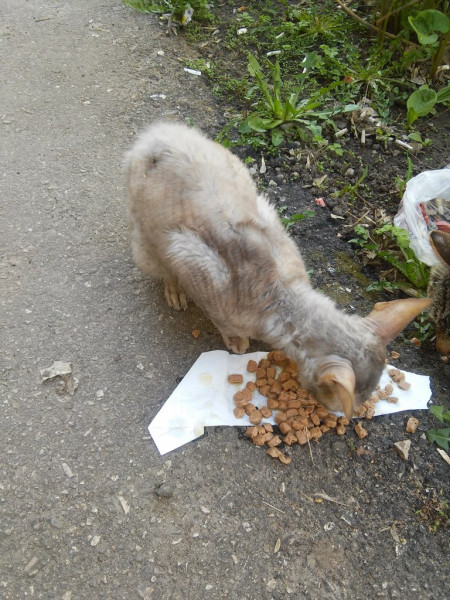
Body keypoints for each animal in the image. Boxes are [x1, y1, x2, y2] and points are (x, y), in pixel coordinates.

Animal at [125, 121, 430, 418]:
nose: (340, 414)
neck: (283, 297)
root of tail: (154, 136)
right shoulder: (194, 264)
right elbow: (224, 325)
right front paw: (237, 343)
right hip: (146, 245)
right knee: (163, 269)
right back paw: (175, 294)